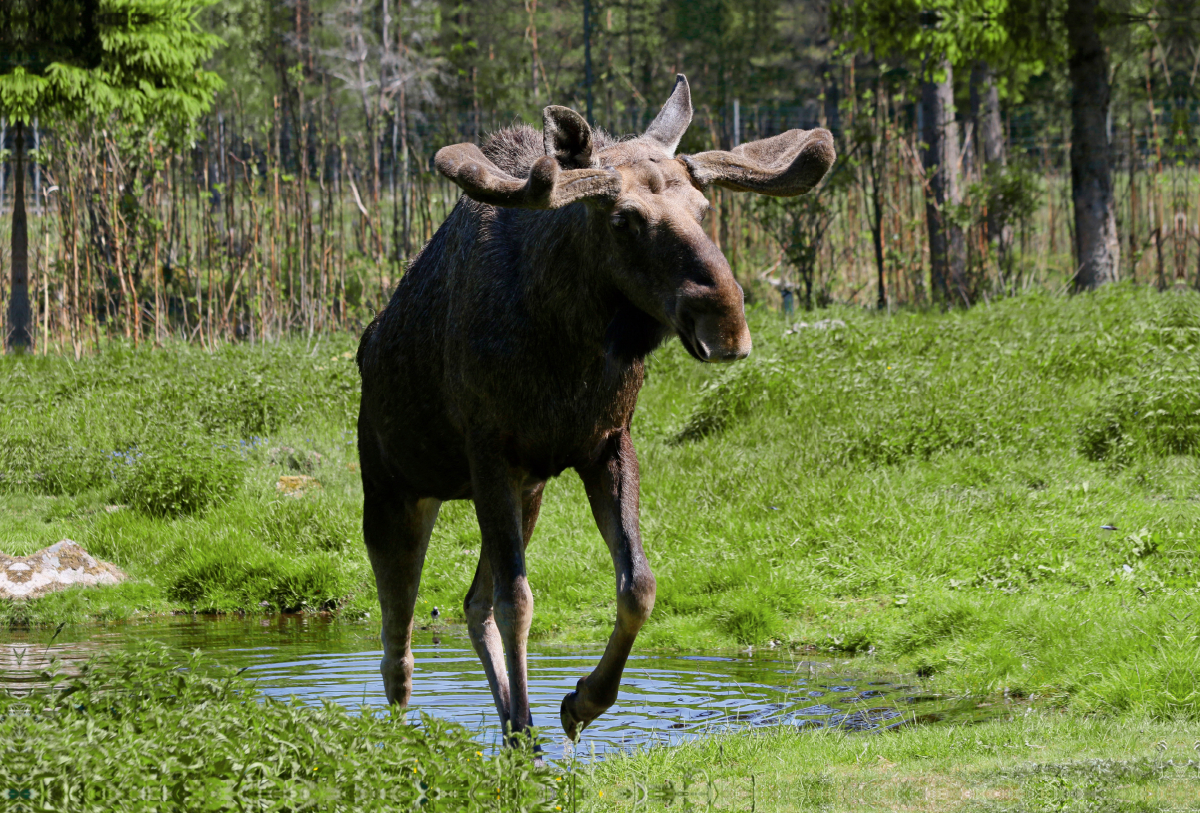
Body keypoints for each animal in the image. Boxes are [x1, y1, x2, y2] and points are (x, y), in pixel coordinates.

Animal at [350, 74, 830, 743]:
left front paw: (580, 702)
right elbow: (518, 601)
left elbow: (638, 585)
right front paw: (547, 717)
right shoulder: (488, 451)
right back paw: (406, 732)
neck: (568, 347)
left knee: (470, 604)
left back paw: (513, 724)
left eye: (704, 209)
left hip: (523, 493)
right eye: (625, 219)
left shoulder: (603, 443)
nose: (727, 324)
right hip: (395, 490)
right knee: (397, 635)